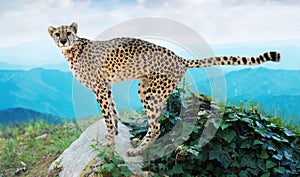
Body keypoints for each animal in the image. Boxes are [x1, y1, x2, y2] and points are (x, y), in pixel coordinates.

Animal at [48, 22, 280, 156]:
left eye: (68, 32)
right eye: (58, 34)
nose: (63, 39)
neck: (72, 50)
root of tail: (179, 57)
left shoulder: (99, 88)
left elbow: (106, 116)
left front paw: (108, 141)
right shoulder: (106, 87)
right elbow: (112, 112)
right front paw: (116, 129)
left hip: (149, 91)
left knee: (157, 126)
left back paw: (138, 150)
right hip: (150, 89)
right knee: (158, 123)